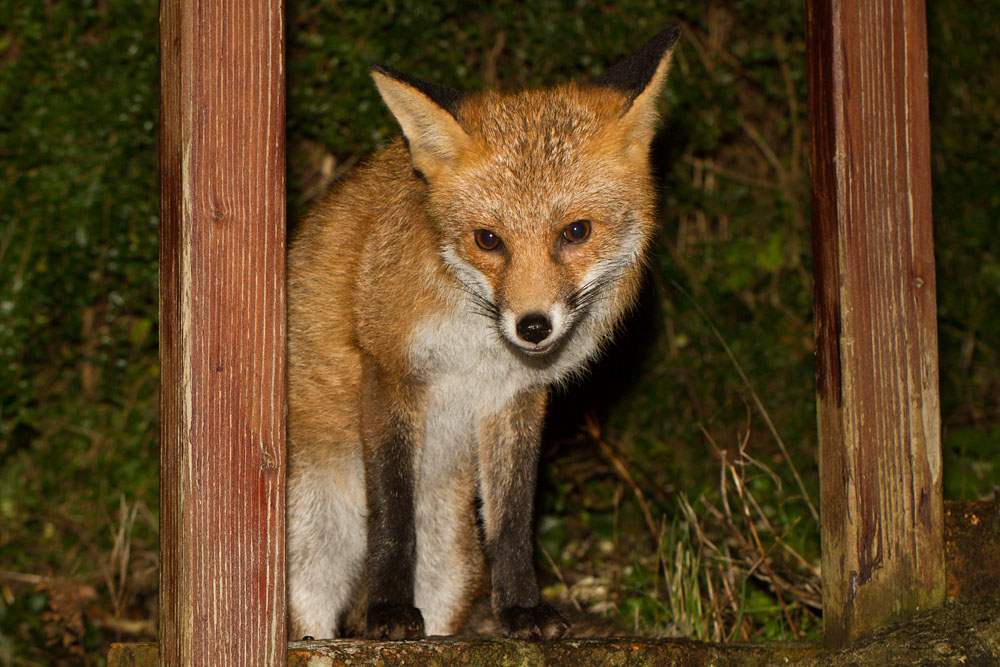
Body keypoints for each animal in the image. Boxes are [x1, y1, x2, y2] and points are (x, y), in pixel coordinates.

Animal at [287, 28, 680, 641]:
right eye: (488, 239)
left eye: (577, 232)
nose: (533, 326)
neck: (476, 347)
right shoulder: (390, 372)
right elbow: (392, 515)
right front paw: (389, 612)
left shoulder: (516, 397)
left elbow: (514, 523)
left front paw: (521, 611)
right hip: (308, 559)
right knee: (313, 621)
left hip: (451, 566)